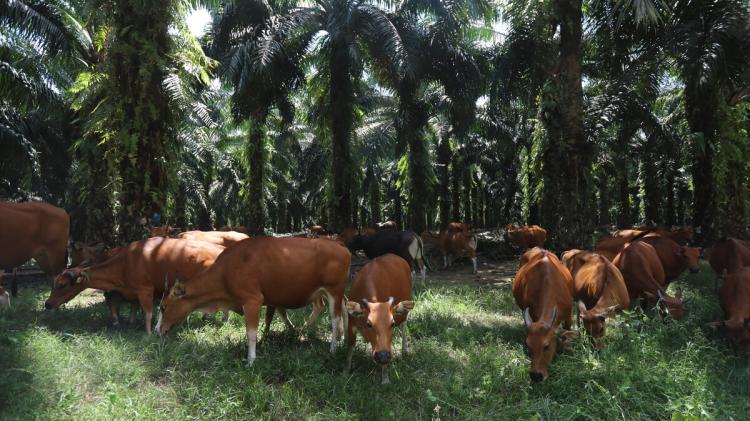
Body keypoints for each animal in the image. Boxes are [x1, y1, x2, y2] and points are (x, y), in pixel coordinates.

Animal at [44, 236, 225, 332]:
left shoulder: (145, 289)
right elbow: (133, 307)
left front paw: (149, 332)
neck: (126, 263)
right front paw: (130, 324)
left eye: (62, 284)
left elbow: (148, 313)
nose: (47, 304)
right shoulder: (132, 291)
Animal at [157, 236, 352, 364]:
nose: (157, 330)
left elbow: (251, 333)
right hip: (335, 292)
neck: (226, 271)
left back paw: (333, 348)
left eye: (163, 307)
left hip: (333, 290)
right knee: (344, 306)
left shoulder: (252, 301)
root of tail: (341, 246)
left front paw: (251, 360)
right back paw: (339, 338)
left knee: (335, 319)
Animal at [346, 253, 418, 384]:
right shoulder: (351, 325)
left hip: (404, 315)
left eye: (392, 324)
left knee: (404, 327)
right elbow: (350, 349)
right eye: (369, 324)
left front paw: (385, 379)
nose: (383, 356)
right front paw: (346, 371)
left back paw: (404, 350)